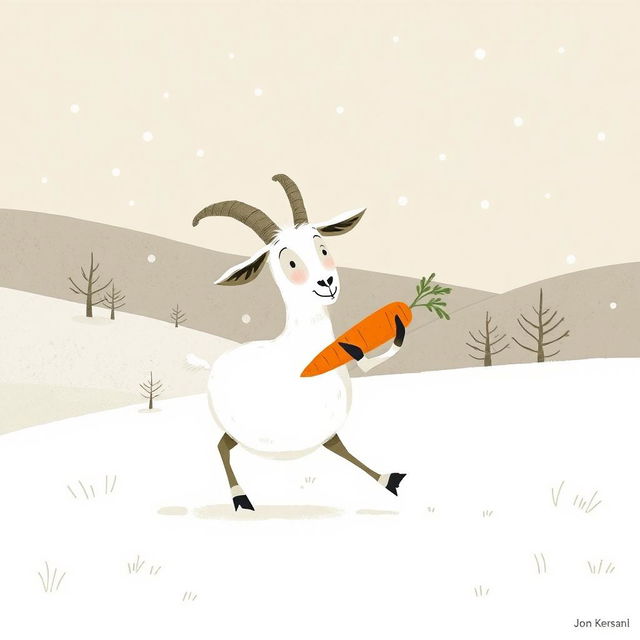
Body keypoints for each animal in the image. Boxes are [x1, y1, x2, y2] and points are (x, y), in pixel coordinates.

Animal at [192, 174, 406, 511]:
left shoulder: (328, 430)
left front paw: (390, 479)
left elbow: (342, 448)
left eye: (322, 247)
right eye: (290, 262)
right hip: (237, 430)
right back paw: (241, 497)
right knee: (221, 446)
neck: (300, 354)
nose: (327, 283)